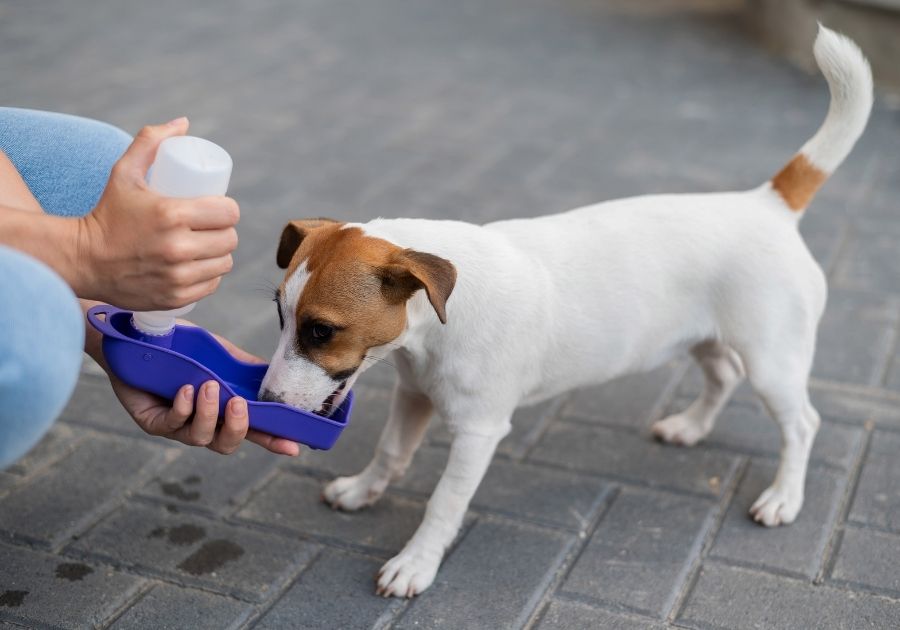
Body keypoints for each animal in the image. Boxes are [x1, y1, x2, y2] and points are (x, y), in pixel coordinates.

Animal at [258, 27, 872, 600]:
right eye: (281, 319)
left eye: (321, 331)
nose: (264, 401)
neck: (433, 328)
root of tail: (766, 203)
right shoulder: (413, 396)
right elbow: (390, 453)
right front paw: (363, 491)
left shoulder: (479, 431)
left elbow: (443, 504)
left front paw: (416, 563)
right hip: (704, 337)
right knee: (723, 375)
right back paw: (691, 427)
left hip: (774, 360)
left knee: (802, 423)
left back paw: (784, 497)